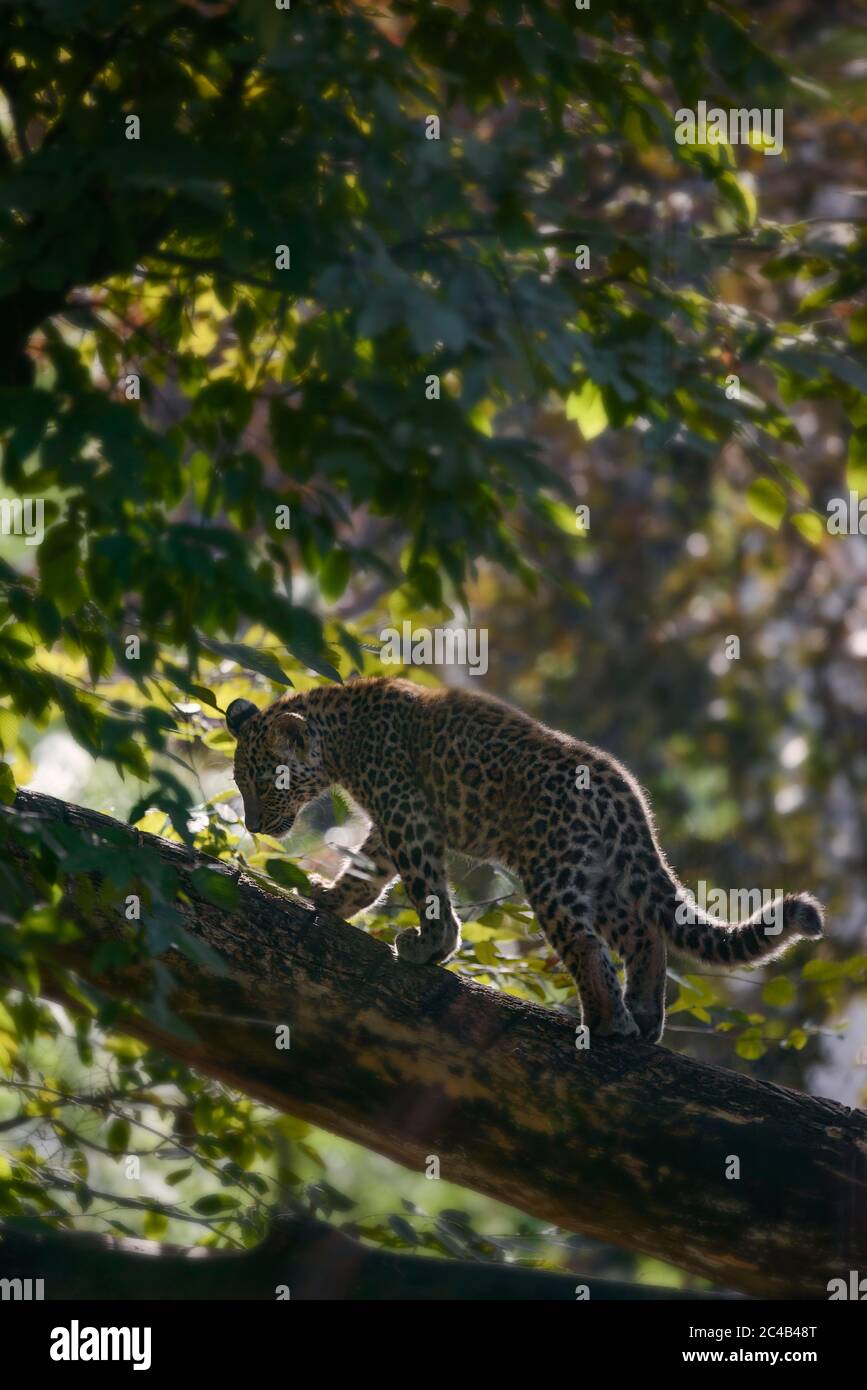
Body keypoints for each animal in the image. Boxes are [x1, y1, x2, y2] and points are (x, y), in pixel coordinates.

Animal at [225, 672, 828, 1045]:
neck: (341, 734)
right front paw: (330, 901)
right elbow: (367, 874)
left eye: (266, 782)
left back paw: (607, 1023)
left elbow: (426, 887)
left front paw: (430, 947)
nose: (252, 825)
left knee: (586, 944)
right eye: (240, 782)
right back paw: (643, 1017)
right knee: (643, 933)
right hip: (599, 873)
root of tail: (624, 790)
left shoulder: (405, 811)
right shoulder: (391, 820)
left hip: (552, 870)